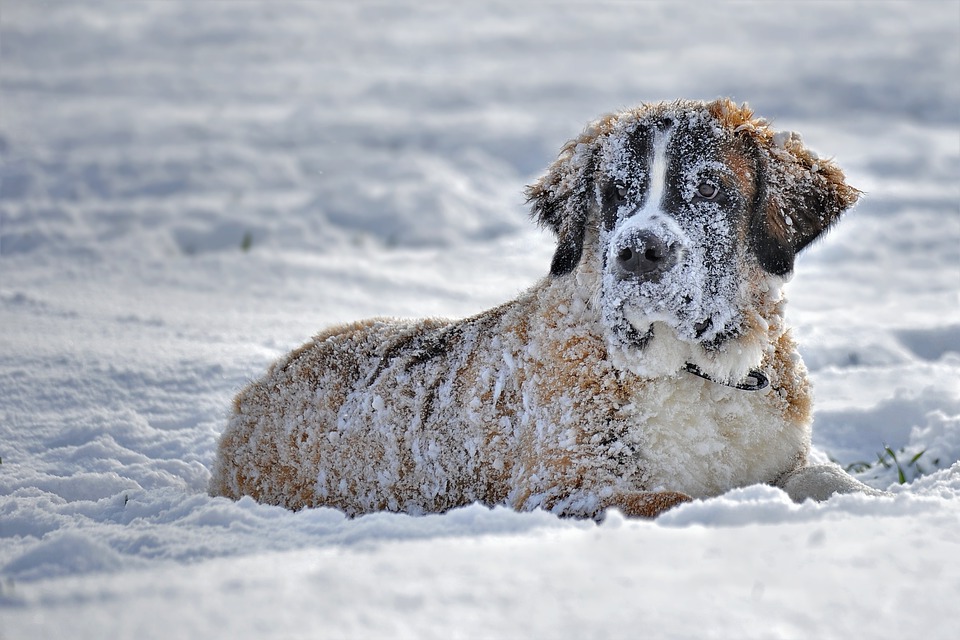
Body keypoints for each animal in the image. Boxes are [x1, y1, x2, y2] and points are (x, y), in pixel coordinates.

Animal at [210, 100, 876, 520]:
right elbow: (676, 500)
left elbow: (832, 480)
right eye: (613, 193)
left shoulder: (785, 456)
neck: (696, 371)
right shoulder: (566, 490)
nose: (639, 251)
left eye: (710, 188)